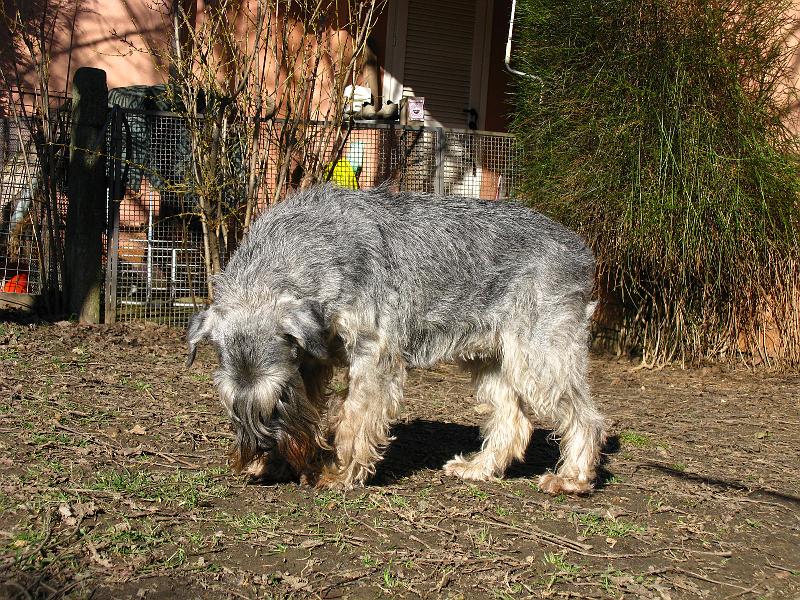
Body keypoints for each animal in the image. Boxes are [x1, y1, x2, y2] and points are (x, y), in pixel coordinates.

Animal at [184, 183, 604, 492]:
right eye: (230, 402)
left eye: (281, 395)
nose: (264, 445)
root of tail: (580, 248)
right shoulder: (312, 359)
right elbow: (313, 410)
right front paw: (277, 464)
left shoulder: (372, 354)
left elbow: (354, 418)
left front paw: (339, 474)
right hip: (489, 360)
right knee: (512, 420)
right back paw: (479, 468)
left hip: (540, 357)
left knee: (585, 416)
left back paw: (572, 478)